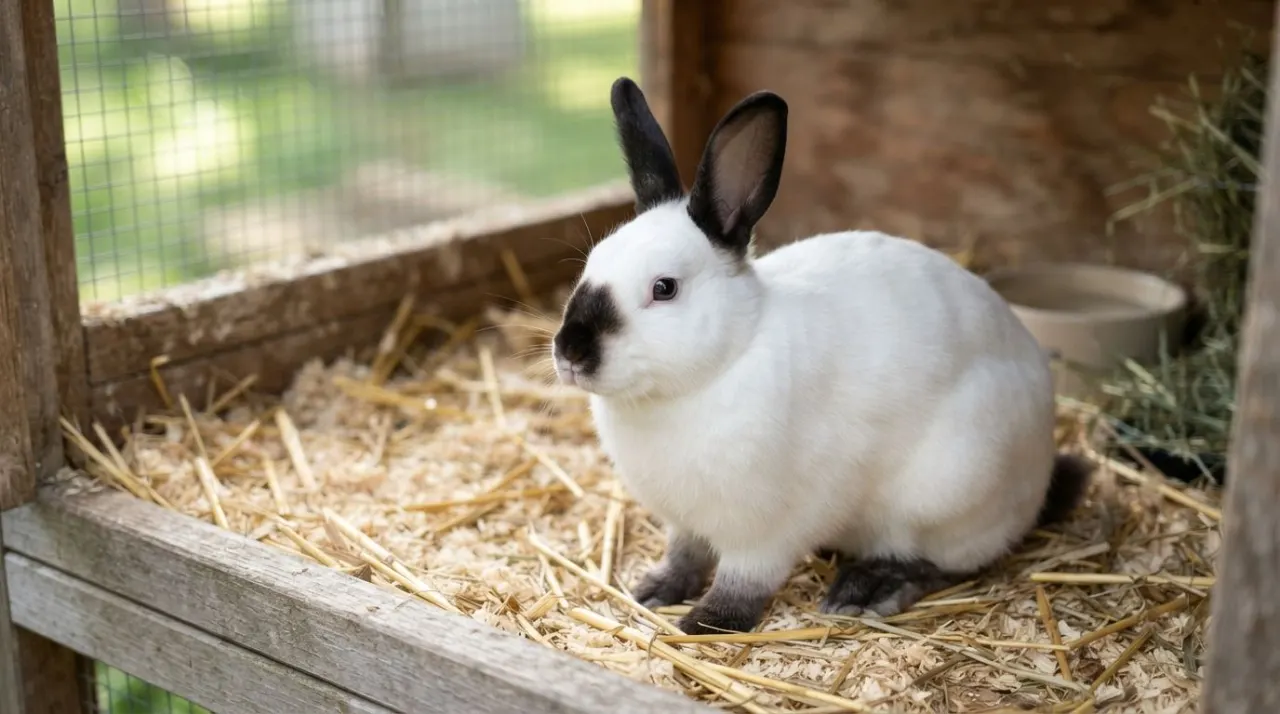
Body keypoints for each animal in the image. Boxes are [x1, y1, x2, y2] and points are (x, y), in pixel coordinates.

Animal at [550, 76, 1093, 636]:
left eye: (664, 288)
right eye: (591, 264)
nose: (570, 351)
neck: (720, 365)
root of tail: (1041, 468)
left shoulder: (765, 532)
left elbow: (744, 581)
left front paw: (706, 622)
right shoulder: (687, 523)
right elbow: (685, 556)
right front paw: (654, 591)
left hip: (950, 491)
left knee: (942, 561)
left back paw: (868, 588)